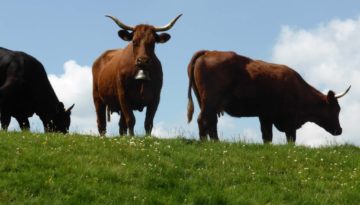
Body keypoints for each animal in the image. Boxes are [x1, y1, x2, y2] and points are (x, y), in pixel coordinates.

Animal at [187, 50, 350, 143]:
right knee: (204, 120)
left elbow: (267, 136)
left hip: (207, 103)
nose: (340, 130)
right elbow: (290, 139)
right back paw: (208, 143)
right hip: (210, 101)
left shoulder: (265, 115)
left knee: (211, 122)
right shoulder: (289, 121)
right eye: (336, 109)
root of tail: (209, 52)